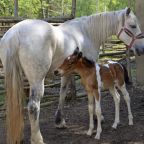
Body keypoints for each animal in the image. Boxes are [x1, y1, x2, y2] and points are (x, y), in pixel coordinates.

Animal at [0, 7, 143, 144]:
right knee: (33, 107)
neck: (87, 32)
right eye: (133, 25)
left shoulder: (65, 72)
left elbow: (62, 92)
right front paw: (98, 118)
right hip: (37, 80)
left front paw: (59, 121)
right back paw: (37, 139)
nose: (141, 49)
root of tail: (15, 33)